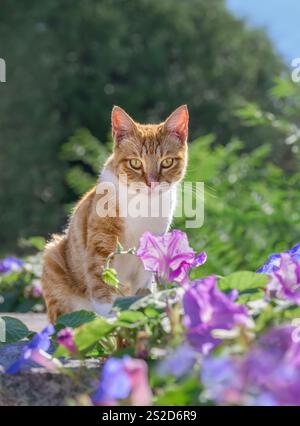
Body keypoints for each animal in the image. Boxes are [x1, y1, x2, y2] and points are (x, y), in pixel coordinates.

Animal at [41, 104, 189, 322]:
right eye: (135, 163)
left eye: (167, 162)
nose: (152, 183)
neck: (143, 204)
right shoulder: (100, 247)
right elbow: (102, 287)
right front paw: (110, 322)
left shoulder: (149, 254)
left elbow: (141, 292)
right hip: (53, 256)